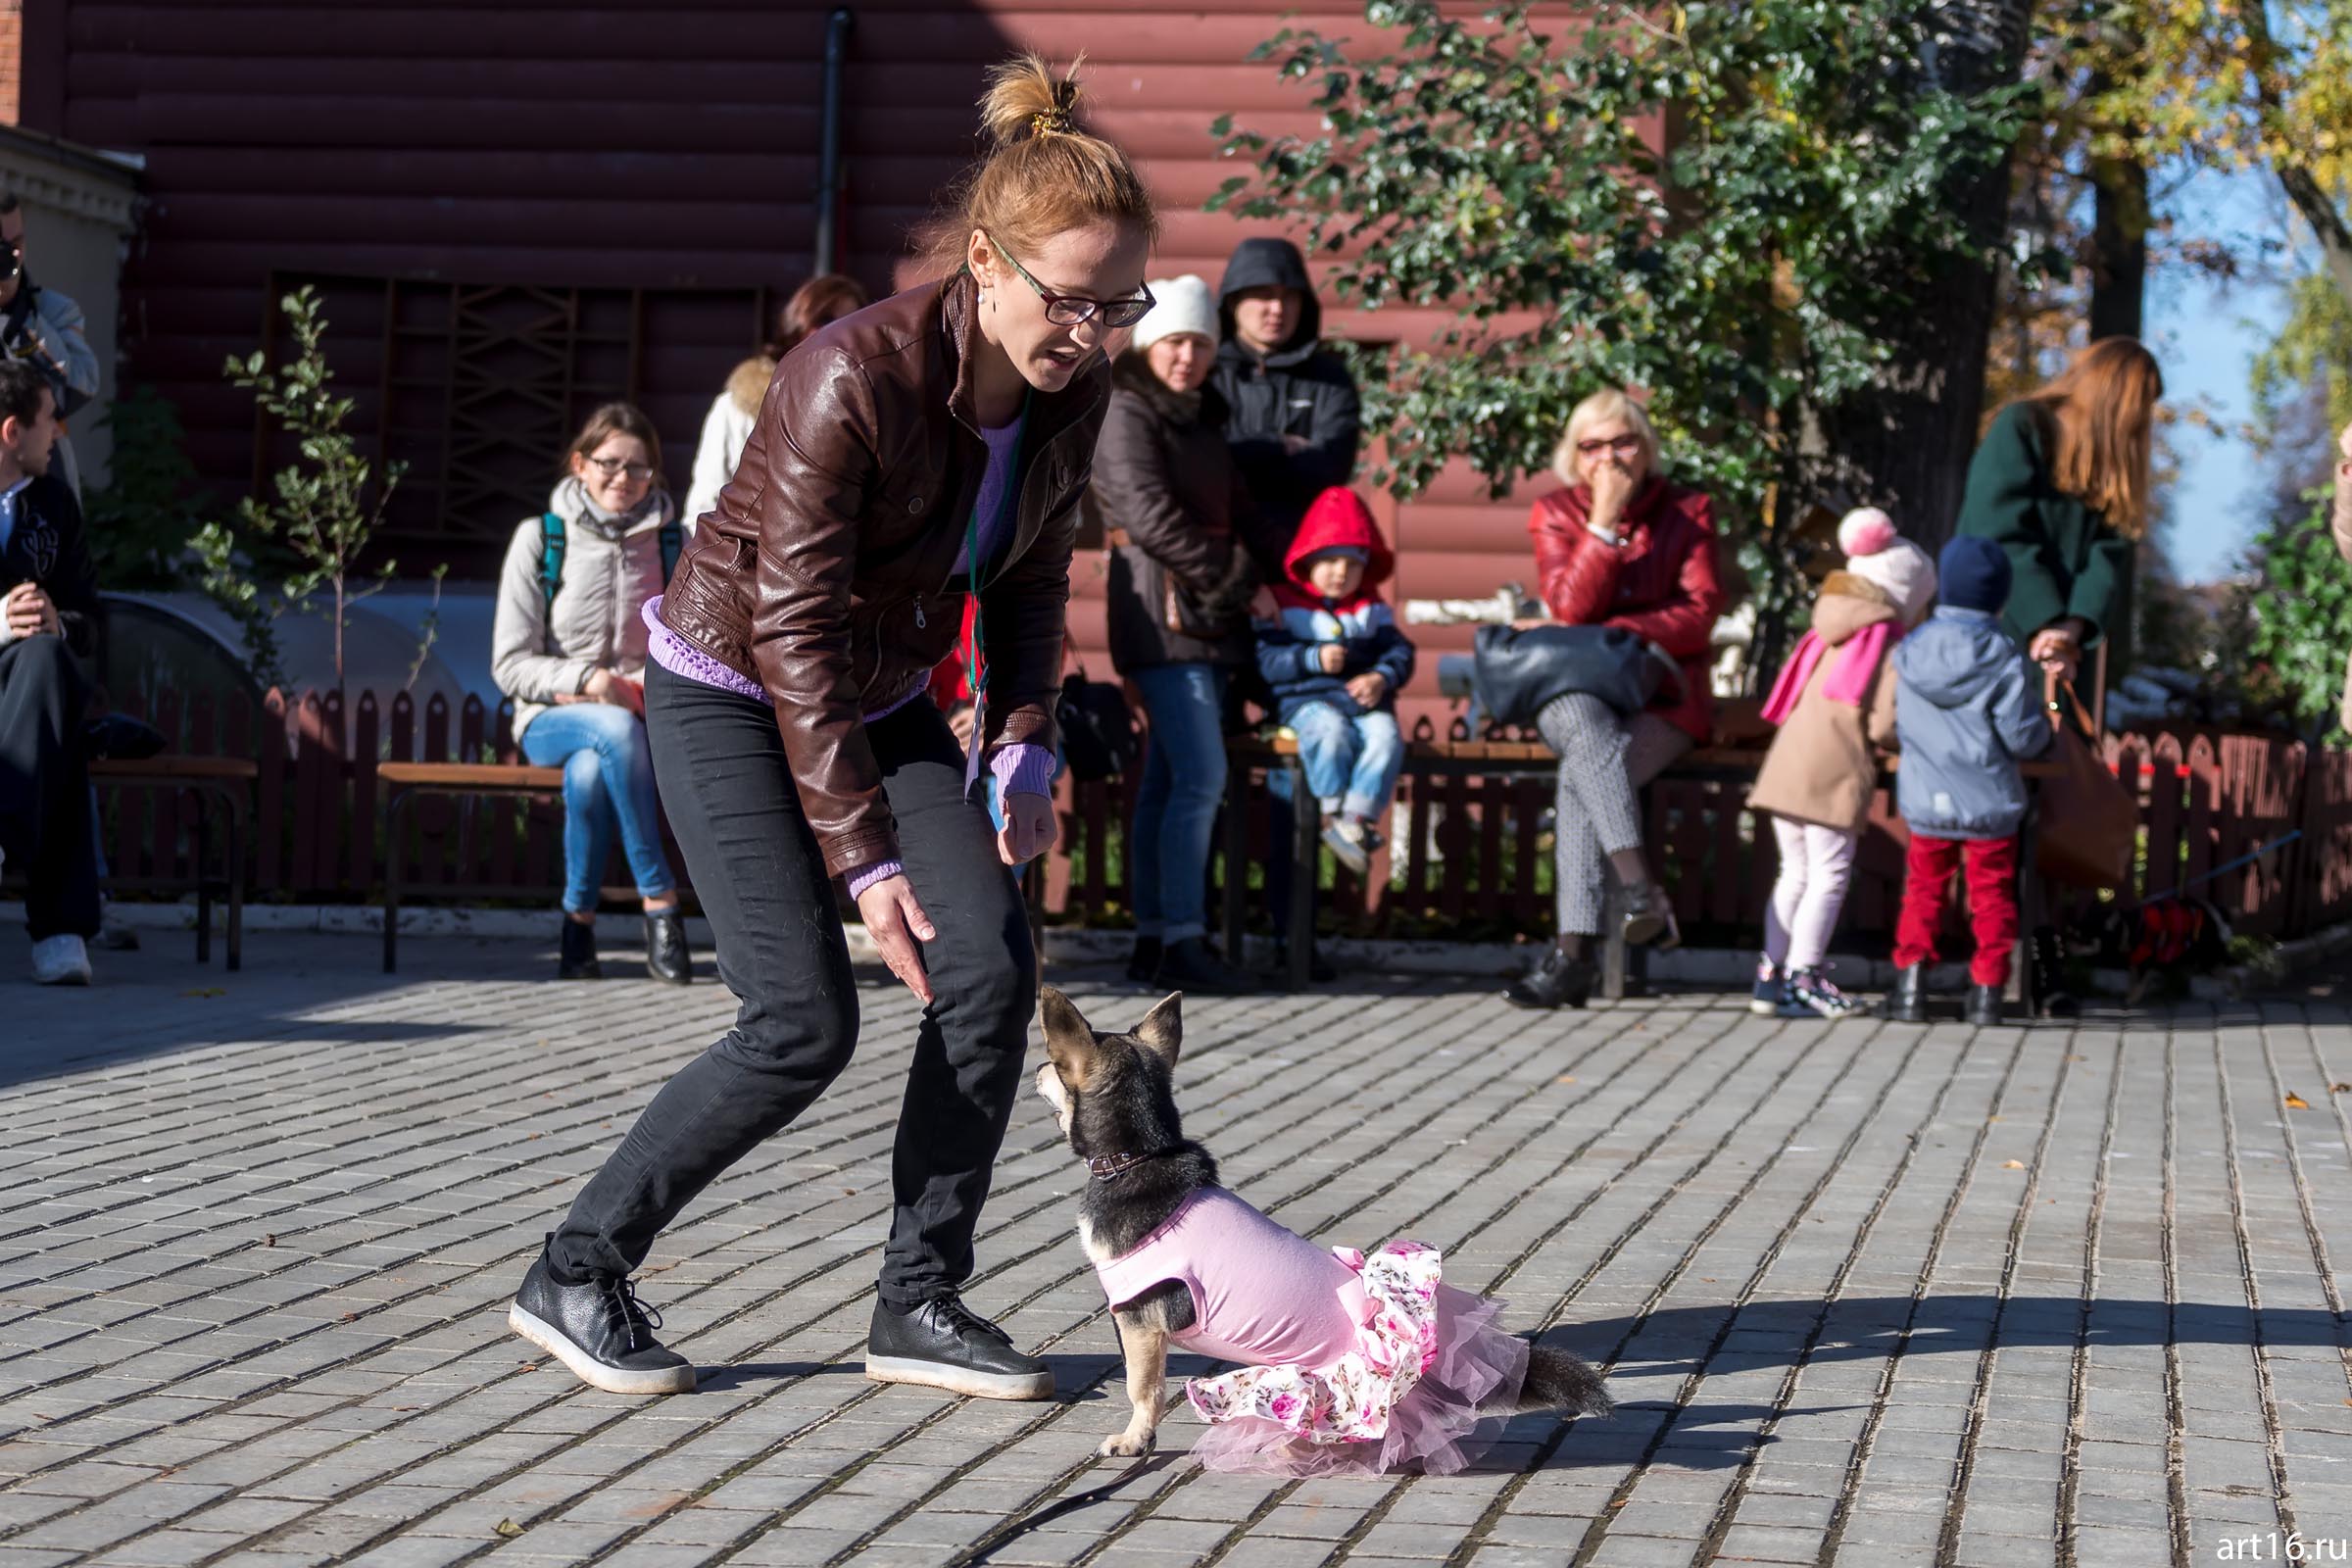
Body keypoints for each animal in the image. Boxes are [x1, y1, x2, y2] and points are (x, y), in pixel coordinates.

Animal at [1039, 987, 1608, 1476]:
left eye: (1053, 1063)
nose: (1039, 1067)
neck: (1139, 1155)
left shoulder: (1141, 1323)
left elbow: (1143, 1389)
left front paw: (1134, 1440)